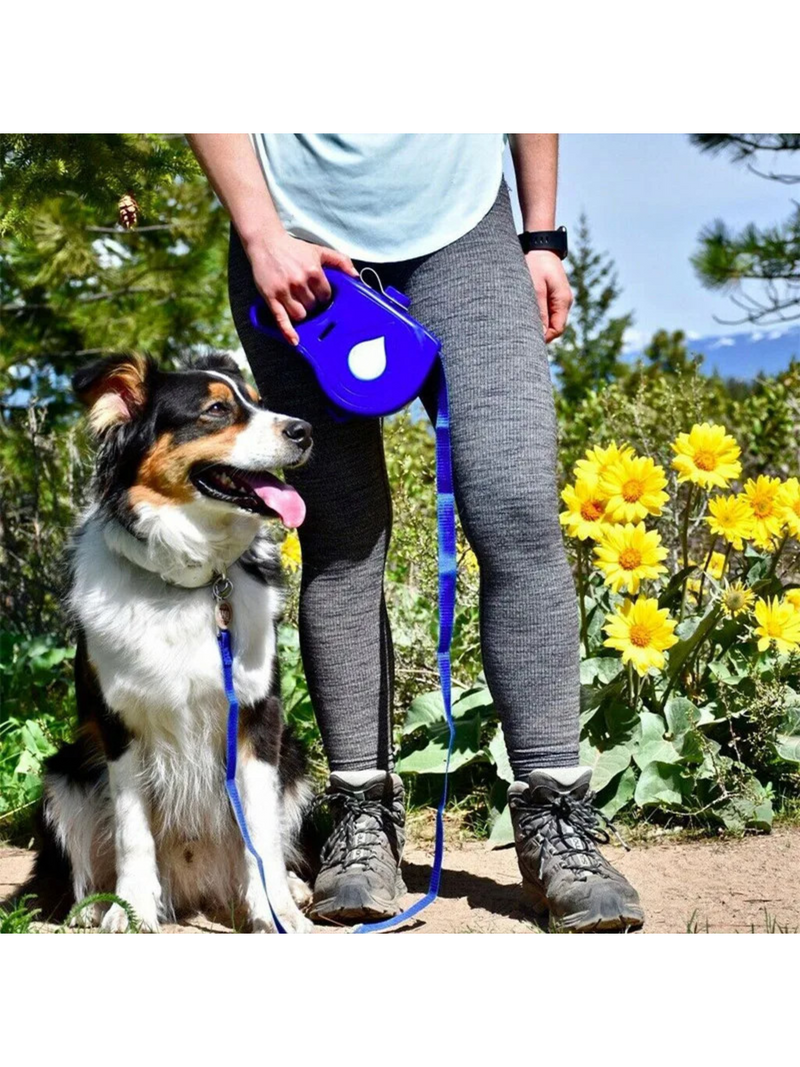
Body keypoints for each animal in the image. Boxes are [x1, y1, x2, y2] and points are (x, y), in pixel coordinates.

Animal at [28, 352, 315, 934]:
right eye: (217, 410)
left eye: (257, 400)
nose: (305, 430)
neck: (189, 584)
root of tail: (195, 886)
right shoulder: (118, 723)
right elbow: (132, 830)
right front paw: (133, 909)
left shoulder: (258, 716)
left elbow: (261, 830)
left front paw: (277, 911)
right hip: (62, 774)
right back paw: (96, 907)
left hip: (295, 759)